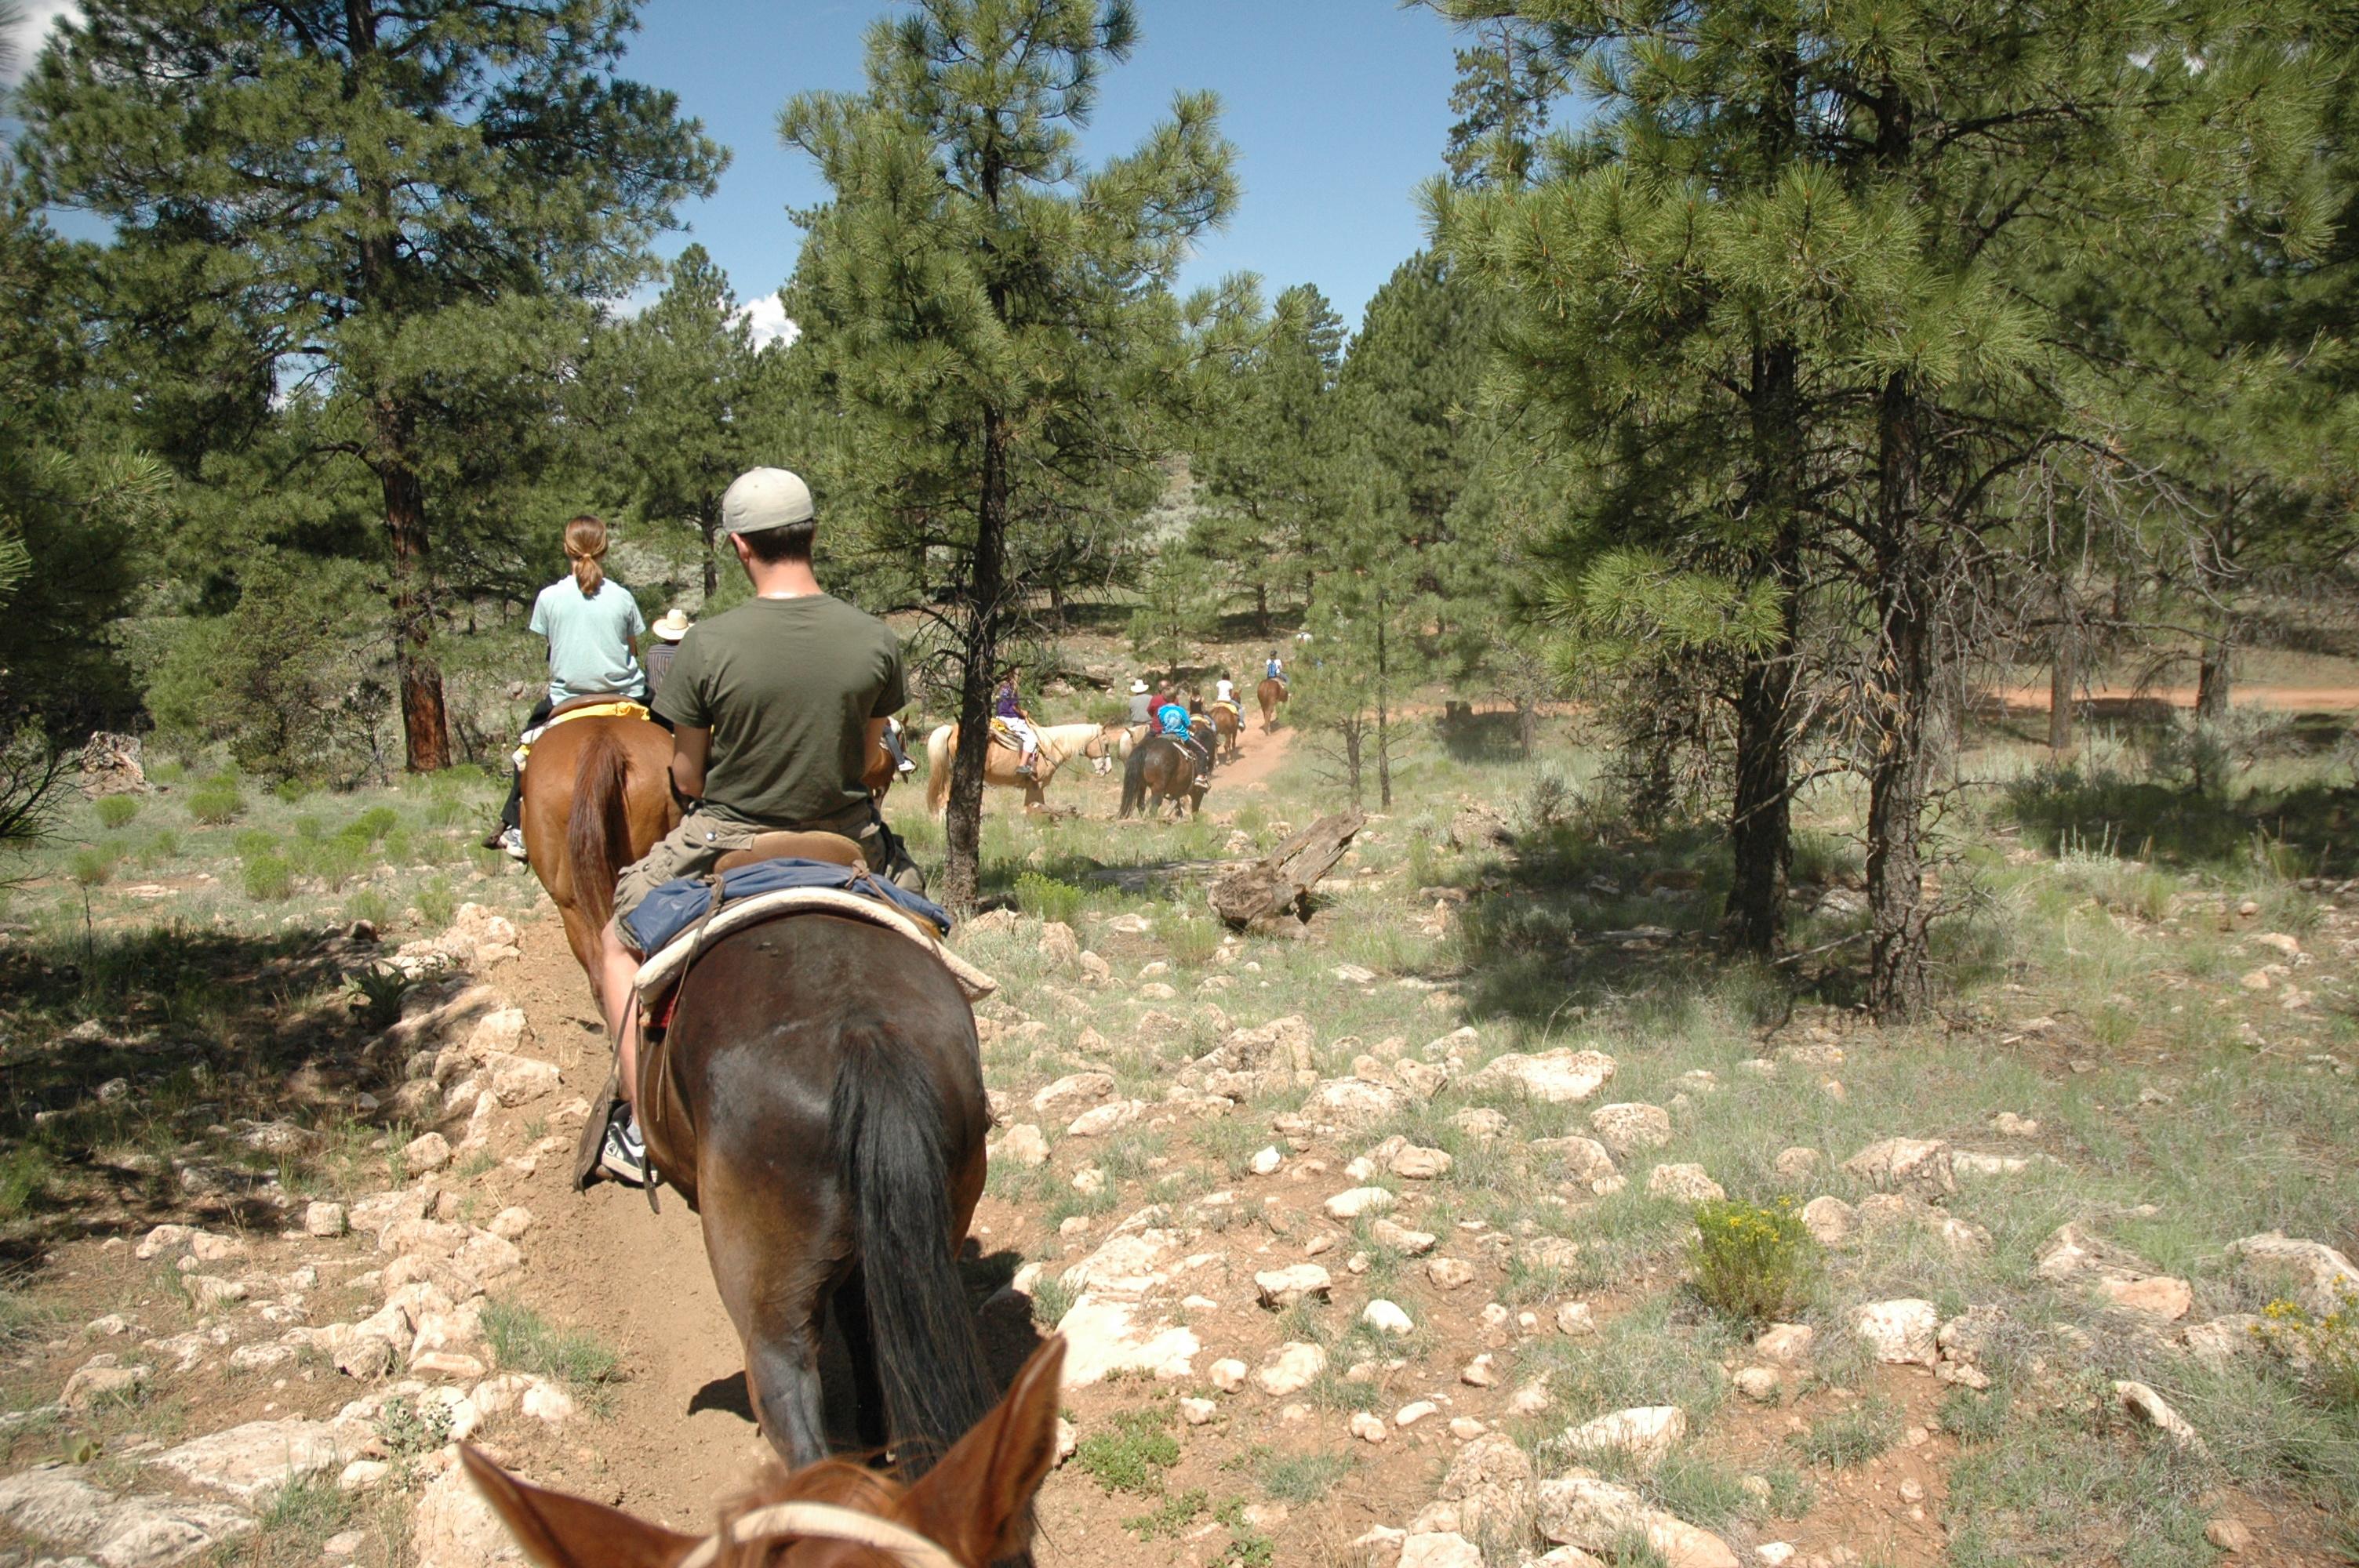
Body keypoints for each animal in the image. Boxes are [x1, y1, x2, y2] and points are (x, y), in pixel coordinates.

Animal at [920, 721, 1113, 811]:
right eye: (1106, 744)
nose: (1108, 770)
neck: (1050, 746)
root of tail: (952, 730)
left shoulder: (1033, 787)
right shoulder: (1037, 785)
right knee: (944, 801)